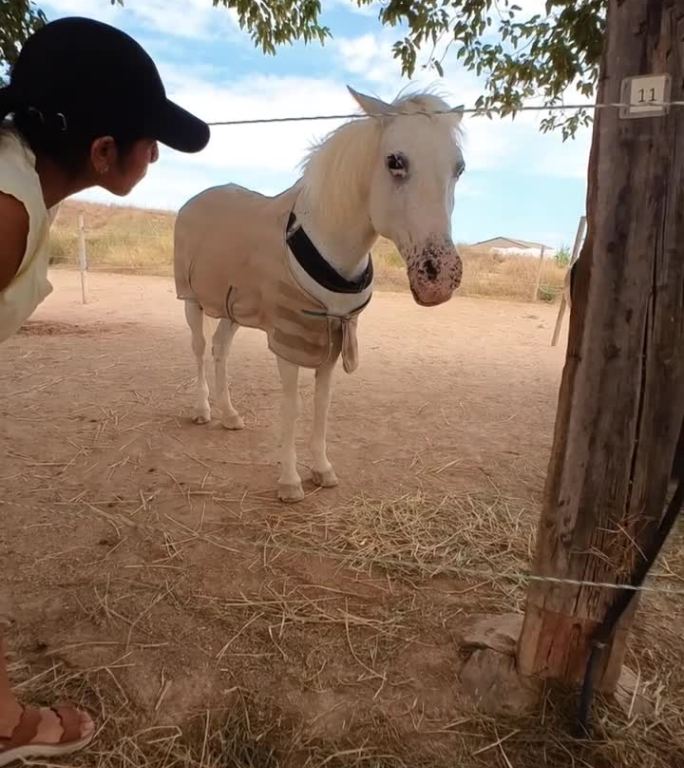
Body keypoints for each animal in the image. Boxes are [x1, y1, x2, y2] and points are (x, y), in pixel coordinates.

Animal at [174, 85, 468, 504]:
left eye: (459, 168)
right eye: (395, 161)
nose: (439, 277)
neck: (329, 246)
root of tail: (195, 200)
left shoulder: (333, 336)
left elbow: (322, 406)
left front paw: (322, 469)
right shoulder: (288, 341)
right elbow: (292, 408)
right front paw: (289, 481)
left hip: (234, 308)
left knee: (219, 349)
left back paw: (229, 415)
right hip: (192, 299)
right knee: (199, 348)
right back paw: (202, 410)